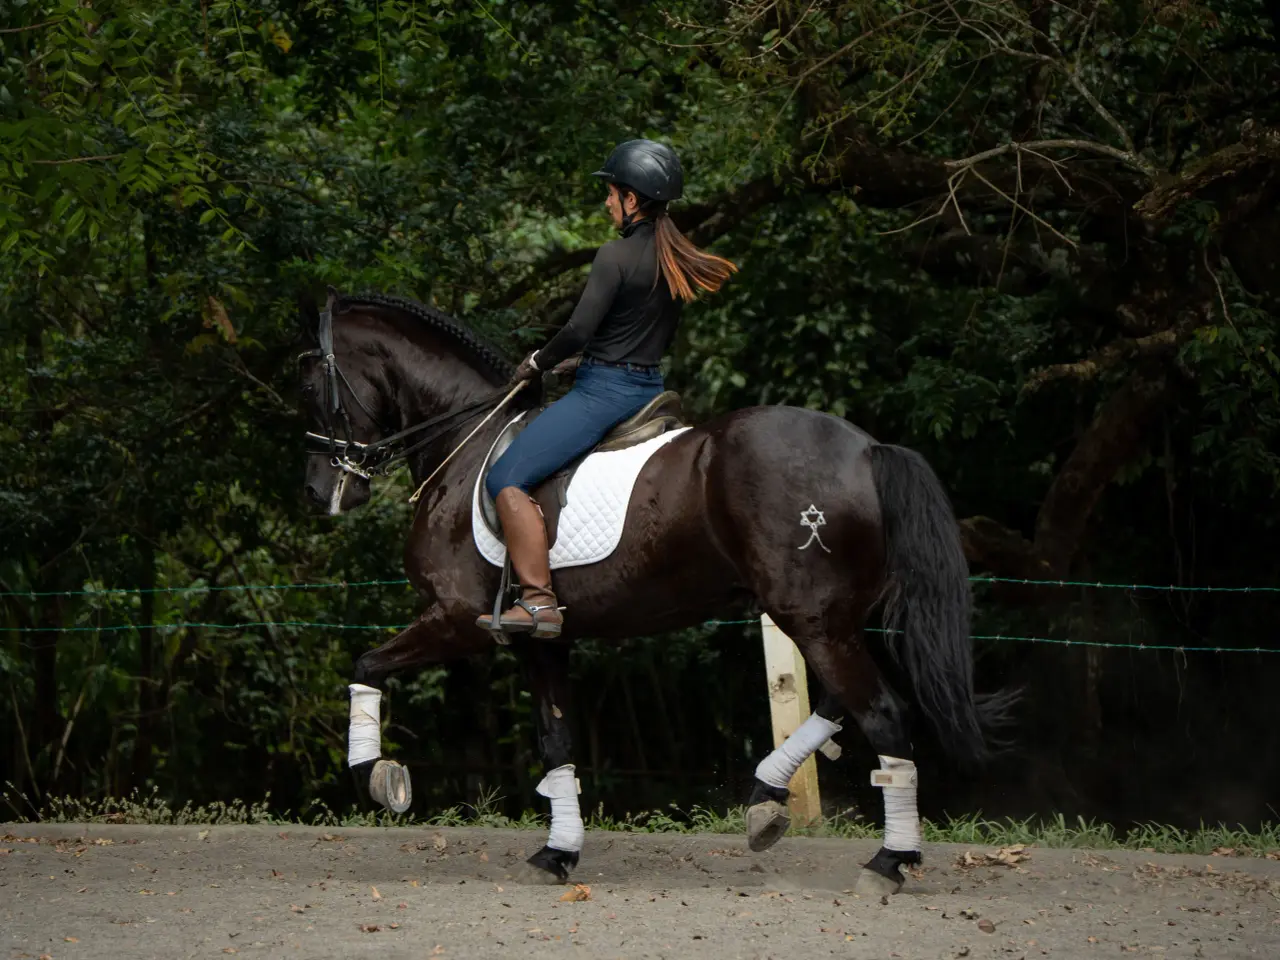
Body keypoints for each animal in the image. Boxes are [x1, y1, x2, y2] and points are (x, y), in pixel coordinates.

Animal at [297, 289, 1011, 895]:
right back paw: (766, 804)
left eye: (311, 388)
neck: (463, 443)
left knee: (883, 712)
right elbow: (557, 741)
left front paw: (377, 776)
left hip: (811, 618)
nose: (319, 491)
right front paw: (557, 852)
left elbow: (367, 664)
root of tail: (867, 450)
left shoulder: (455, 617)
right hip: (831, 619)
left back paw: (888, 861)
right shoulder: (540, 639)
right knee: (844, 702)